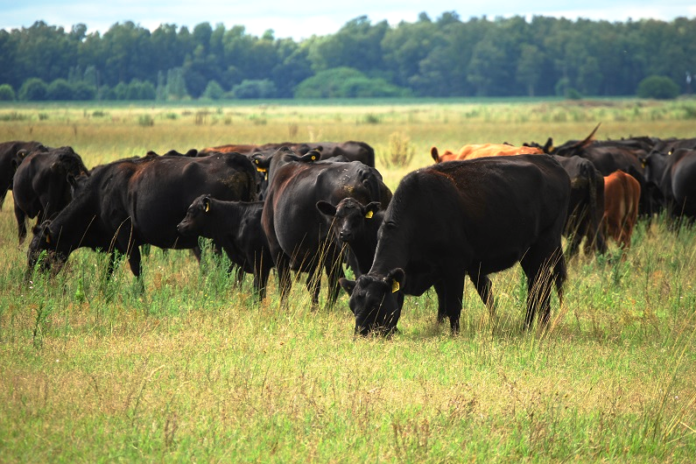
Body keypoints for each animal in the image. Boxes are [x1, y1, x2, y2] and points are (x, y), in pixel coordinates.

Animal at [28, 152, 257, 279]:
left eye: (37, 255)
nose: (29, 285)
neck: (100, 193)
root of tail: (233, 158)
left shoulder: (125, 235)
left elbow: (136, 268)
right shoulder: (114, 243)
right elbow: (109, 271)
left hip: (216, 241)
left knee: (226, 267)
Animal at [339, 155, 571, 336]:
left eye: (375, 303)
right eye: (352, 305)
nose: (361, 333)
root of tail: (550, 162)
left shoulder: (454, 268)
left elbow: (453, 306)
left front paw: (454, 334)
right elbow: (435, 304)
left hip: (545, 245)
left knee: (541, 287)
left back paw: (538, 327)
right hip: (529, 253)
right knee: (536, 286)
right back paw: (531, 326)